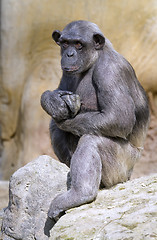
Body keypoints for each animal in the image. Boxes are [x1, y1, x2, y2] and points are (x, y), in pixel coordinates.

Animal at [40, 20, 150, 221]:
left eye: (78, 44)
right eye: (65, 43)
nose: (69, 54)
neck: (94, 60)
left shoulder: (110, 72)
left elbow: (118, 117)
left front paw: (63, 118)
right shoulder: (67, 73)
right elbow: (59, 89)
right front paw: (52, 101)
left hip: (122, 166)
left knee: (92, 140)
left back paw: (79, 194)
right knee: (55, 131)